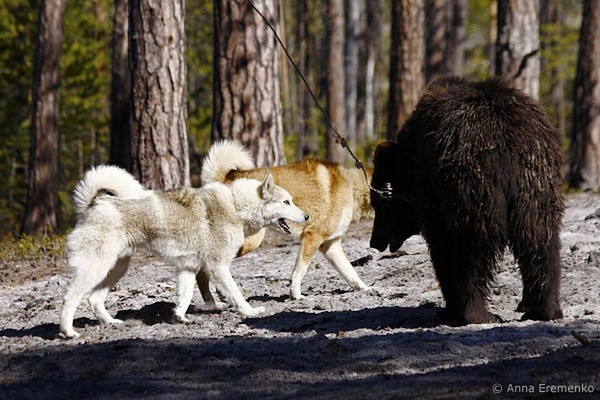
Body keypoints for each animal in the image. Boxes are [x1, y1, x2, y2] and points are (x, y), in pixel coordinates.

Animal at [60, 165, 308, 338]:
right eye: (286, 202)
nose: (307, 217)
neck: (236, 206)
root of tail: (92, 204)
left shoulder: (189, 268)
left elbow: (185, 296)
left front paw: (180, 317)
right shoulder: (218, 266)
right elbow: (236, 294)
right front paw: (250, 311)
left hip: (116, 268)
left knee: (94, 299)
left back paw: (111, 323)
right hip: (98, 268)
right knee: (70, 298)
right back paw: (68, 332)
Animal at [200, 140, 374, 300]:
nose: (306, 216)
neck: (352, 188)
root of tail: (226, 177)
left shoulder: (330, 244)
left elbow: (350, 273)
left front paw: (366, 289)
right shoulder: (312, 238)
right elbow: (299, 272)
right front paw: (296, 295)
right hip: (250, 241)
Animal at [370, 76, 564, 324]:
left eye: (378, 204)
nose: (374, 241)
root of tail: (506, 144)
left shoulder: (430, 190)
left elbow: (440, 245)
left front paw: (449, 308)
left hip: (472, 185)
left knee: (473, 246)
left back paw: (475, 313)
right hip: (535, 182)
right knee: (541, 239)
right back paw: (544, 310)